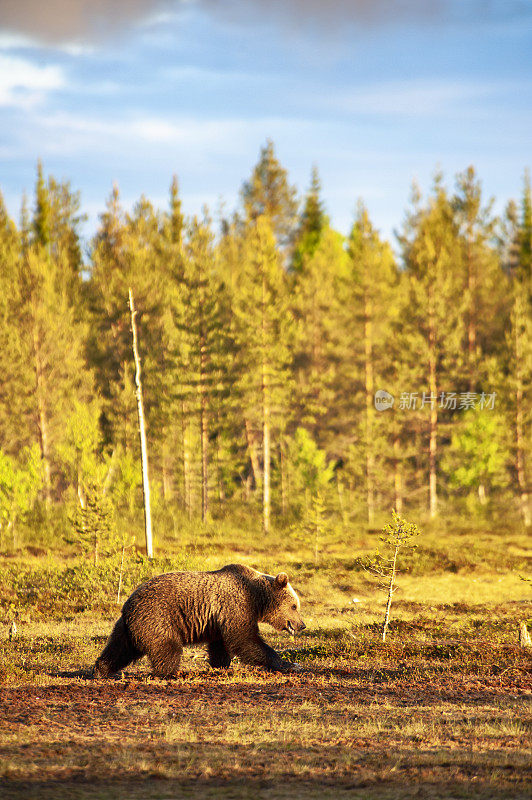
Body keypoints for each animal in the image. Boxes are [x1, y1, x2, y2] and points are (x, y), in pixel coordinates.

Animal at [93, 564, 306, 676]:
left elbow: (221, 644)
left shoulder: (219, 619)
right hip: (158, 617)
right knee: (167, 648)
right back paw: (171, 673)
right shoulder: (236, 606)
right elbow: (245, 639)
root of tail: (128, 605)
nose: (302, 625)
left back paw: (101, 670)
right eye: (294, 606)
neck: (255, 597)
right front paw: (289, 664)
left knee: (119, 648)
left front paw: (220, 665)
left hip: (127, 627)